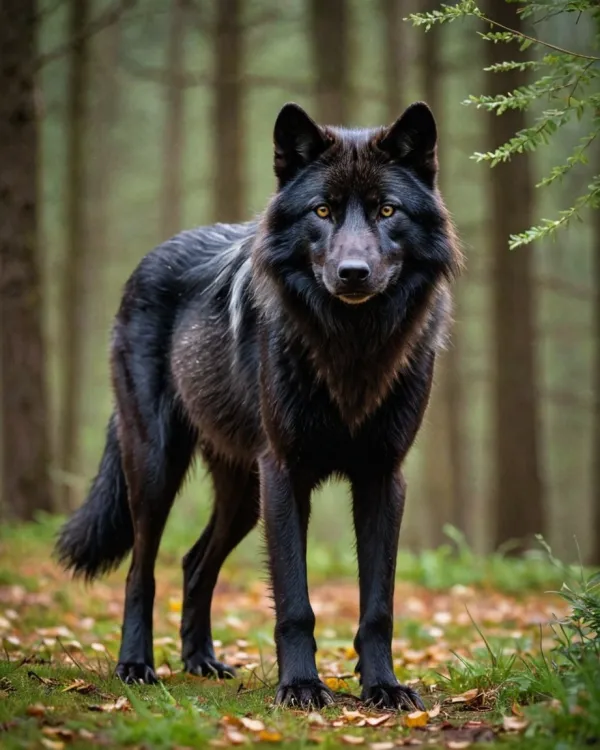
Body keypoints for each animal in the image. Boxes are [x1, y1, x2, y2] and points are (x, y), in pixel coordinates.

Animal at [56, 101, 461, 710]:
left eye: (387, 210)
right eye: (322, 210)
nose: (353, 274)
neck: (351, 346)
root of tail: (150, 257)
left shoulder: (382, 476)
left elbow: (379, 605)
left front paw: (383, 687)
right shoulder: (285, 473)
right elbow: (295, 601)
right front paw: (301, 686)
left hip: (244, 494)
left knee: (194, 563)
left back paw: (201, 661)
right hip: (157, 468)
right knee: (140, 570)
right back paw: (136, 665)